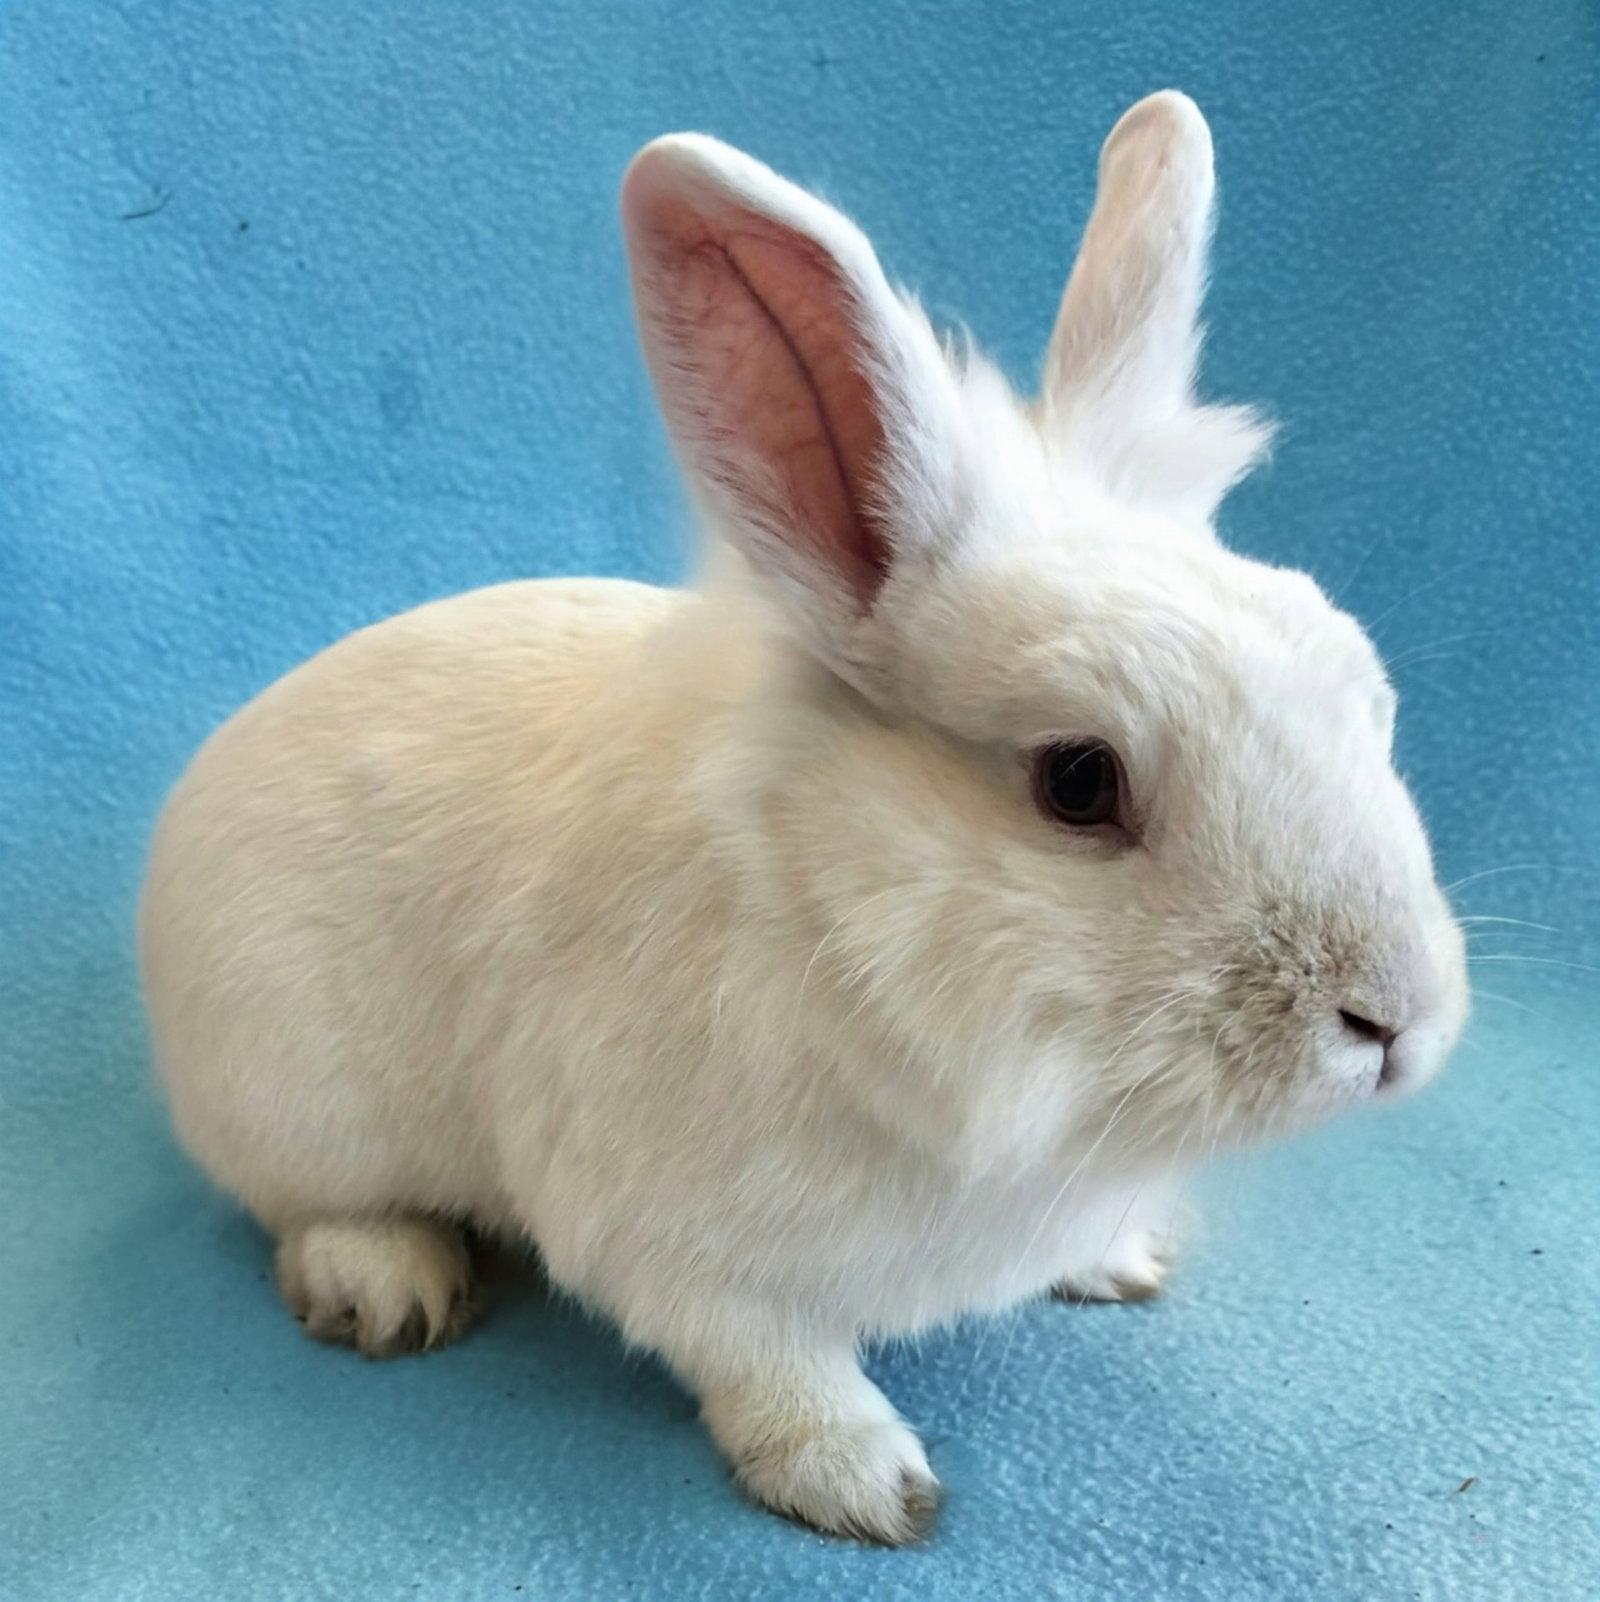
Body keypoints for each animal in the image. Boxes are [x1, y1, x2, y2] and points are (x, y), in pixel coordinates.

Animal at [139, 91, 1469, 1544]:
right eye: (1079, 781)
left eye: (1362, 687)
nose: (1394, 1018)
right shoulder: (679, 1246)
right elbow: (772, 1365)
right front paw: (869, 1486)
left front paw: (1122, 1261)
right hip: (296, 1099)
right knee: (306, 1206)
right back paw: (389, 1285)